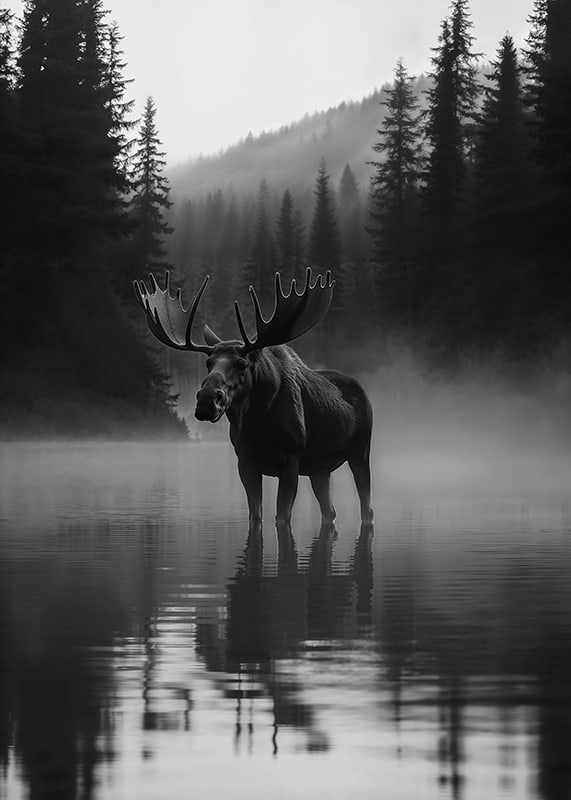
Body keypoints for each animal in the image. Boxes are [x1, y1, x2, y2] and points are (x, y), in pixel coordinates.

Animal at [134, 268, 374, 535]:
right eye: (208, 363)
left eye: (242, 364)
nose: (207, 400)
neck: (256, 421)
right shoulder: (246, 463)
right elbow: (255, 518)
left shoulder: (290, 462)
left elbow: (282, 519)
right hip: (320, 469)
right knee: (329, 511)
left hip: (360, 452)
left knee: (366, 508)